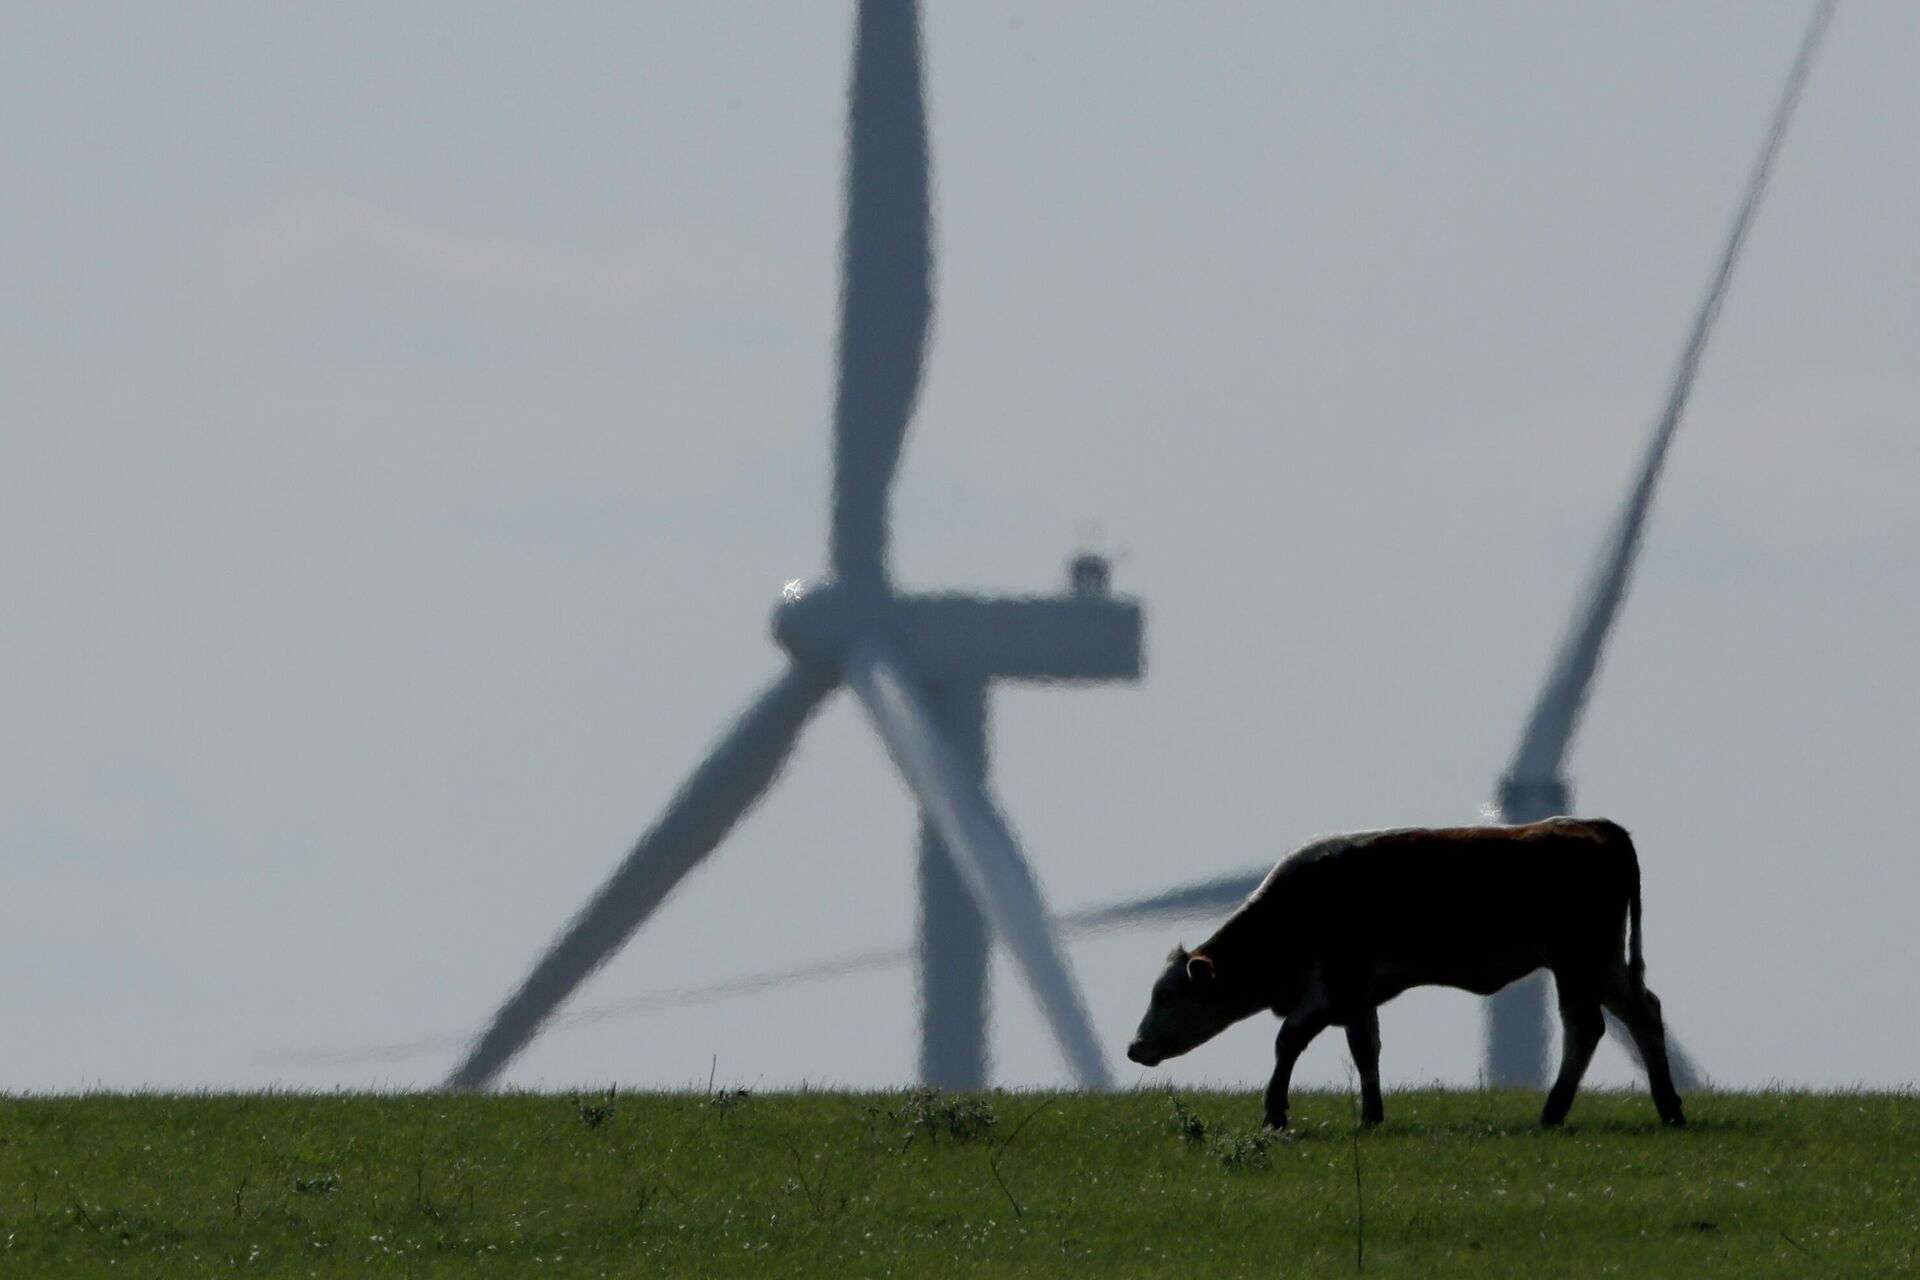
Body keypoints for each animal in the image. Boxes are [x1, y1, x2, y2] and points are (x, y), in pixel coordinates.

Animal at [1121, 821, 1681, 1128]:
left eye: (1165, 995)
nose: (1133, 1047)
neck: (1297, 909)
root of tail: (1595, 825)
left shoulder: (1333, 985)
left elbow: (1287, 1041)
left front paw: (1275, 1113)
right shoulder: (1357, 996)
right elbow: (1365, 1051)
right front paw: (1371, 1116)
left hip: (1576, 961)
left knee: (1585, 1028)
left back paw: (1553, 1112)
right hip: (1603, 963)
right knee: (1644, 1013)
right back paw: (1669, 1107)